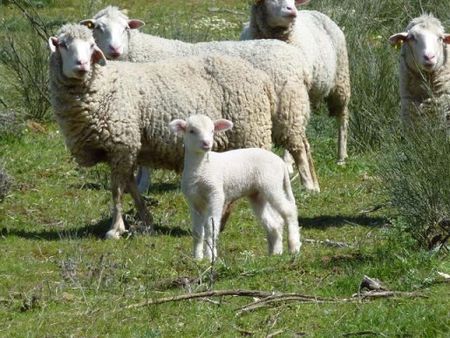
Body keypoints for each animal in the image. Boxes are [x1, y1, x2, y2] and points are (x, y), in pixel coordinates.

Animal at [47, 23, 294, 239]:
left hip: (253, 134)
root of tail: (262, 78)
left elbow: (117, 190)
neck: (104, 87)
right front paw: (146, 220)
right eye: (63, 45)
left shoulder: (122, 143)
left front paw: (115, 229)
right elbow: (131, 186)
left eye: (91, 45)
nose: (81, 65)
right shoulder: (122, 148)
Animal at [80, 4, 320, 193]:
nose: (115, 49)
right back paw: (313, 184)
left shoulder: (147, 111)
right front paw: (139, 184)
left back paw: (308, 186)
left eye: (126, 28)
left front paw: (142, 185)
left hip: (287, 108)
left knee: (299, 146)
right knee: (305, 144)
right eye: (98, 28)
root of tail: (297, 58)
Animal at [171, 115, 300, 260]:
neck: (201, 169)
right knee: (274, 223)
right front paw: (197, 258)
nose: (207, 143)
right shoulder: (194, 201)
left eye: (212, 130)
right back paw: (275, 253)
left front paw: (210, 257)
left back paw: (294, 247)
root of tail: (281, 163)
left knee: (289, 211)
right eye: (192, 131)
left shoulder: (216, 194)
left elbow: (211, 227)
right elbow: (197, 232)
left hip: (272, 185)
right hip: (257, 194)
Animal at [239, 0, 352, 164]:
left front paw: (287, 160)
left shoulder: (290, 94)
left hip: (340, 80)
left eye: (293, 1)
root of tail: (314, 11)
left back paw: (341, 156)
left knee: (342, 116)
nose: (292, 10)